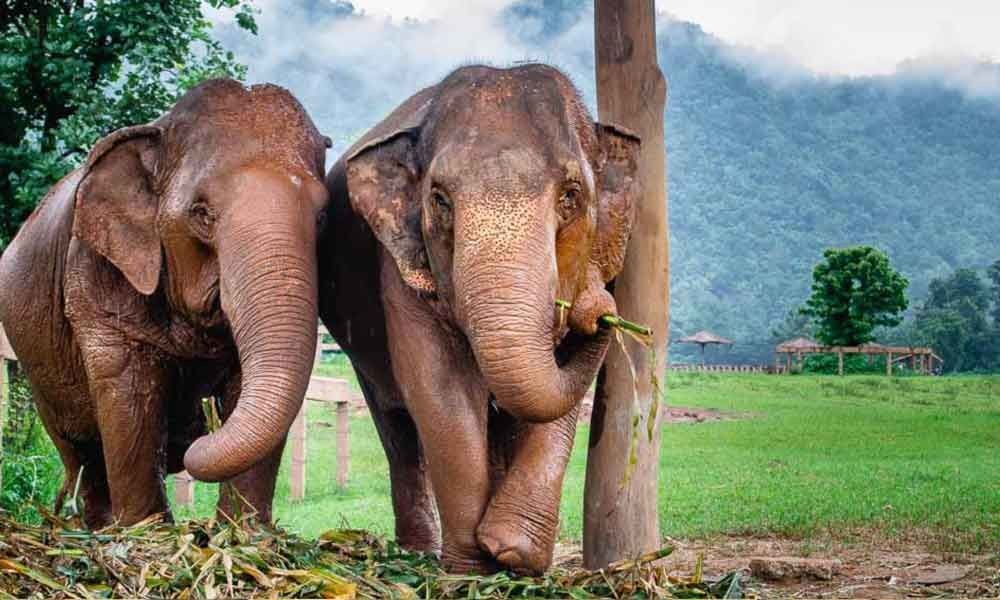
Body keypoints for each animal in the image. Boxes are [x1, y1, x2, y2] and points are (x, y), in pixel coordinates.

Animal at [0, 79, 329, 527]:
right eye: (201, 213)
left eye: (322, 216)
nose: (199, 431)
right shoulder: (96, 272)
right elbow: (129, 393)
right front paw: (146, 529)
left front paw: (241, 532)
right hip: (38, 367)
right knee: (82, 452)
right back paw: (98, 526)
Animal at [318, 64, 640, 574]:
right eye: (439, 199)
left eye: (571, 196)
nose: (599, 306)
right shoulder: (400, 268)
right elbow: (439, 384)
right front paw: (473, 567)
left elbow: (555, 392)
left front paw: (515, 554)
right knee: (397, 427)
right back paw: (418, 553)